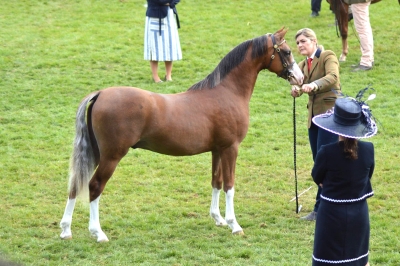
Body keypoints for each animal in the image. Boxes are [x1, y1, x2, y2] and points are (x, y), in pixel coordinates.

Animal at [58, 27, 304, 243]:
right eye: (287, 51)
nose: (299, 78)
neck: (226, 92)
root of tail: (100, 94)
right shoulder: (231, 148)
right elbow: (229, 186)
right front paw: (234, 225)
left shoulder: (217, 150)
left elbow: (216, 182)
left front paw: (218, 219)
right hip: (111, 156)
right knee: (94, 187)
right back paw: (98, 233)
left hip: (95, 153)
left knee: (75, 185)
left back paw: (66, 230)